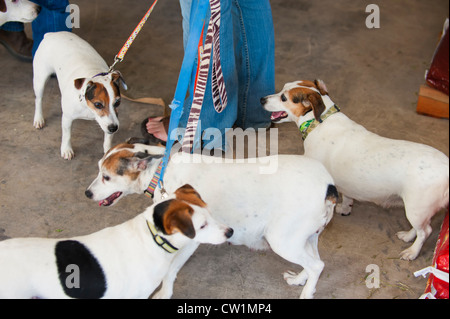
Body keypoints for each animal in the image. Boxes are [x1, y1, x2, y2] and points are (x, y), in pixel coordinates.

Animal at [32, 31, 126, 159]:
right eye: (98, 105)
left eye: (117, 102)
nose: (114, 128)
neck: (88, 108)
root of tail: (51, 34)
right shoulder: (67, 118)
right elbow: (67, 135)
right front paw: (66, 150)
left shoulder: (110, 121)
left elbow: (107, 140)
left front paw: (109, 152)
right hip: (40, 79)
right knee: (39, 99)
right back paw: (38, 119)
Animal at [83, 142, 338, 300]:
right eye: (98, 171)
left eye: (106, 177)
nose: (87, 193)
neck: (161, 172)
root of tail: (328, 185)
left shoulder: (190, 241)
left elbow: (170, 271)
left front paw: (164, 293)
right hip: (305, 237)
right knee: (316, 262)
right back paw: (300, 280)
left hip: (281, 240)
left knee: (317, 265)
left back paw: (306, 293)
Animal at [262, 79, 448, 262]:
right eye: (283, 88)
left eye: (284, 98)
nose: (261, 99)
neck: (319, 122)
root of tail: (446, 167)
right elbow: (347, 197)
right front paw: (345, 208)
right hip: (417, 211)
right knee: (420, 228)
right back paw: (408, 236)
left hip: (416, 209)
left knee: (426, 231)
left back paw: (412, 251)